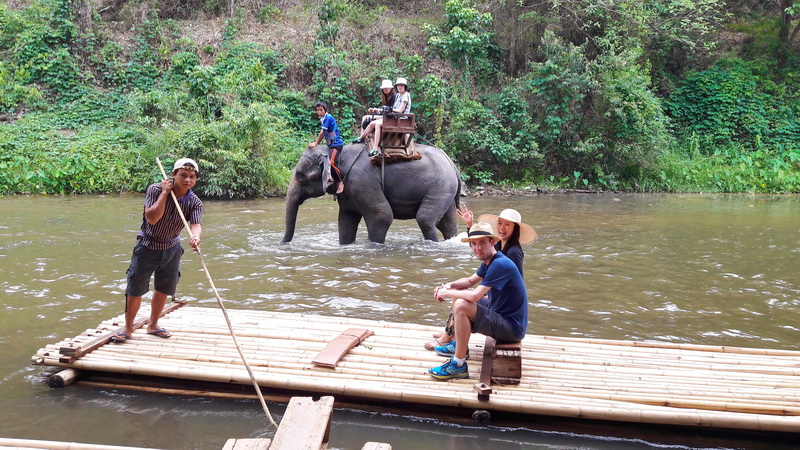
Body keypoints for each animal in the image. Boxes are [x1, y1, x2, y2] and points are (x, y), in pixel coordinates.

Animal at [282, 144, 462, 244]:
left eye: (300, 176)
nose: (283, 244)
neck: (335, 153)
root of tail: (452, 163)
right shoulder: (348, 192)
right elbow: (345, 222)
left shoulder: (362, 183)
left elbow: (381, 216)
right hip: (446, 190)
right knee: (447, 224)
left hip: (440, 187)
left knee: (425, 220)